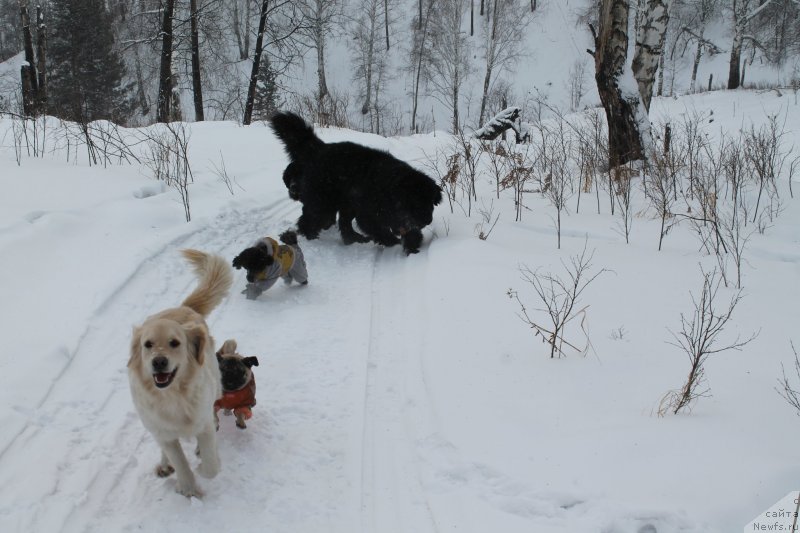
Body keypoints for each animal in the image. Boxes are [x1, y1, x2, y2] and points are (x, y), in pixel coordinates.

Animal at [272, 111, 440, 255]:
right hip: (324, 202)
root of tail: (319, 148)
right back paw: (311, 238)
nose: (428, 220)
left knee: (344, 226)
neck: (389, 188)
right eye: (417, 203)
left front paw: (412, 244)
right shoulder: (369, 213)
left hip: (345, 203)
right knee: (310, 220)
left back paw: (356, 239)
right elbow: (379, 230)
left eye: (430, 202)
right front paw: (393, 242)